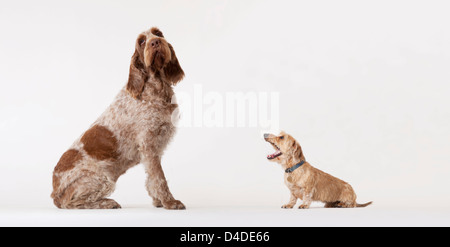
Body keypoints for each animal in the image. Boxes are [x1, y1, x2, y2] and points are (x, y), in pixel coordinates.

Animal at [51, 27, 185, 208]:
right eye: (142, 41)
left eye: (158, 33)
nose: (155, 42)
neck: (156, 88)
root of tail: (54, 191)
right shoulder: (148, 145)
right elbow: (159, 178)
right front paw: (169, 202)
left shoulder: (154, 148)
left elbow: (151, 178)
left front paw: (158, 201)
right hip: (102, 179)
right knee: (72, 203)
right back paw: (108, 203)